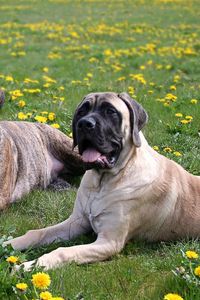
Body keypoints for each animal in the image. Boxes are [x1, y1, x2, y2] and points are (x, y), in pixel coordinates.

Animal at [5, 92, 200, 270]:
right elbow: (36, 233)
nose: (84, 124)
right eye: (82, 111)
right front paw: (8, 244)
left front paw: (29, 266)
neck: (103, 182)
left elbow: (63, 251)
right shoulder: (77, 222)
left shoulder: (109, 242)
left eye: (111, 111)